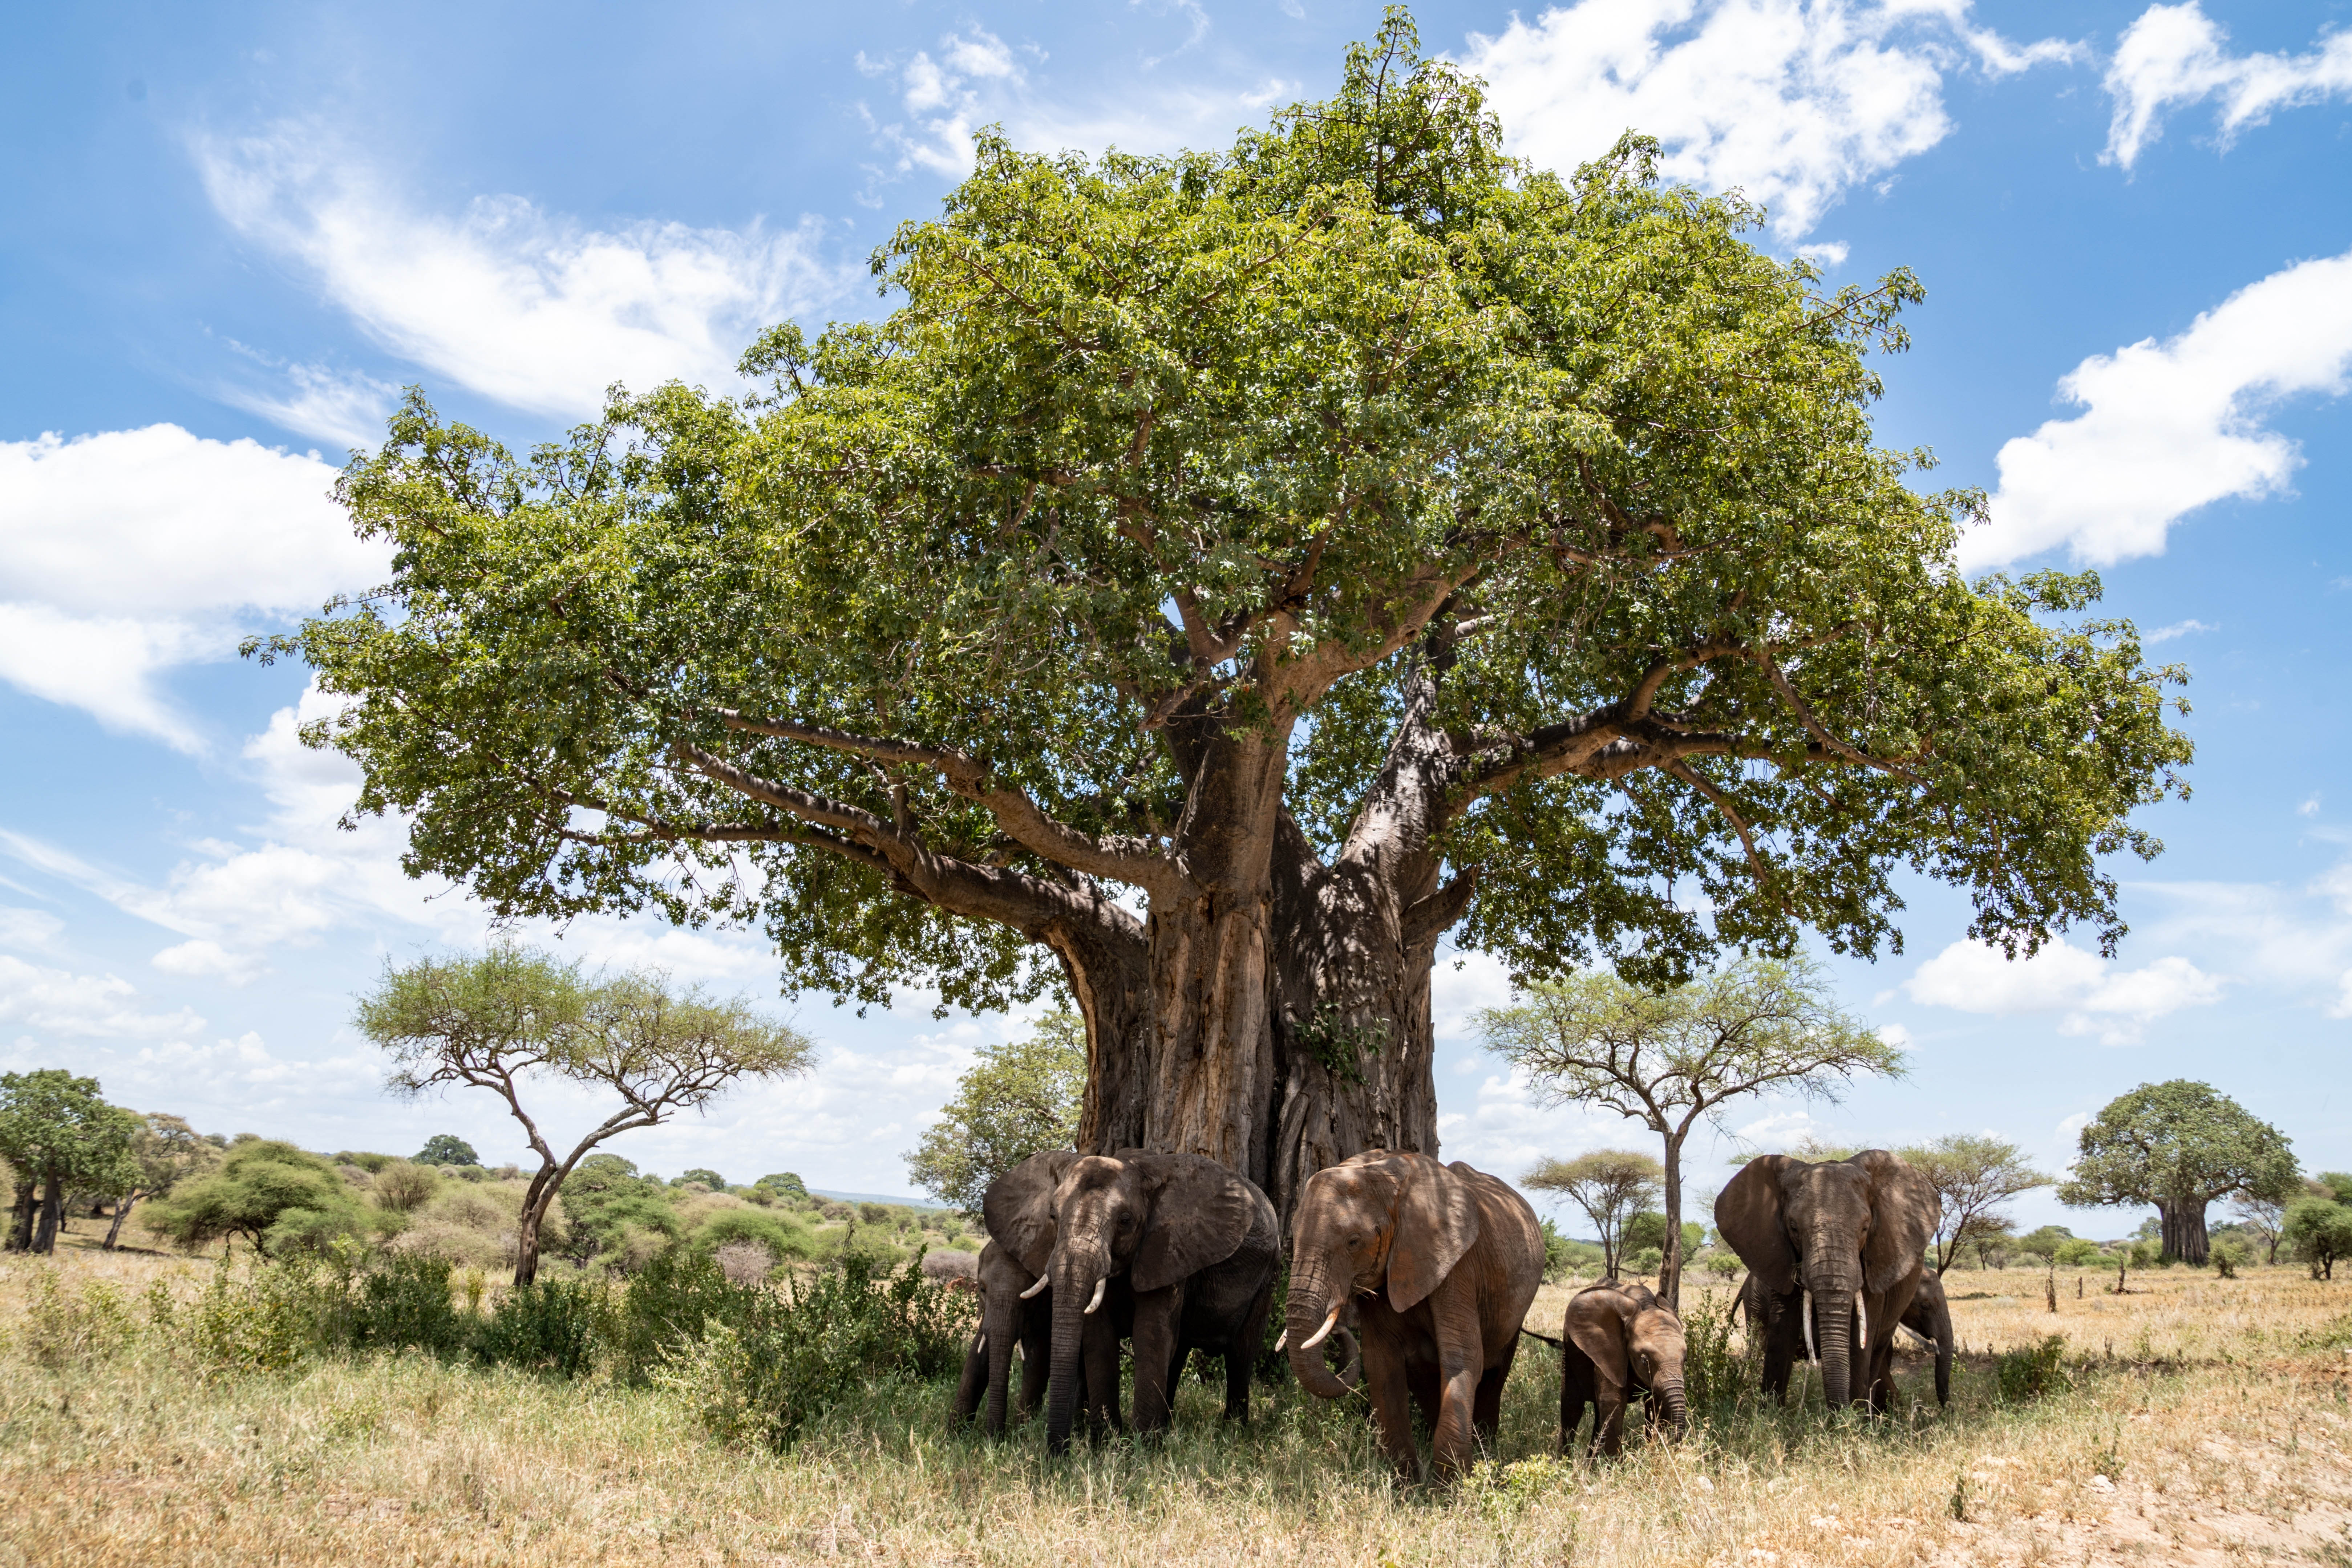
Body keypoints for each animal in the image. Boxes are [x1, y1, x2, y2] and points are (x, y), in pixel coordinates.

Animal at [985, 1147, 1280, 1454]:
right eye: (1053, 1215)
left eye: (1125, 1220)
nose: (1059, 1454)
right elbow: (1100, 1338)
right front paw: (1106, 1446)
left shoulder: (1166, 1249)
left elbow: (1150, 1335)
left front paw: (1142, 1451)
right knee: (1179, 1353)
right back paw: (1169, 1427)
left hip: (1267, 1276)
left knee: (1241, 1354)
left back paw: (1232, 1434)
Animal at [1285, 1150, 1544, 1482]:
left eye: (1353, 1242)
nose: (1339, 1326)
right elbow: (1381, 1364)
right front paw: (1406, 1486)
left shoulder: (1459, 1265)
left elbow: (1463, 1357)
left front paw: (1453, 1487)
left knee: (1495, 1372)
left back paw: (1486, 1449)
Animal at [1559, 1280, 1689, 1456]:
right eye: (1645, 1360)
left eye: (1685, 1359)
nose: (1675, 1443)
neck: (1646, 1305)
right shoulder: (1607, 1349)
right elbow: (1614, 1401)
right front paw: (1611, 1463)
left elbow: (1655, 1403)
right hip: (1569, 1351)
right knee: (1572, 1406)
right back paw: (1563, 1461)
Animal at [1716, 1150, 1940, 1412]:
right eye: (1794, 1228)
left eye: (1865, 1228)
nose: (1838, 1412)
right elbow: (1781, 1332)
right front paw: (1770, 1416)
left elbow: (1859, 1344)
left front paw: (1853, 1420)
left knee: (1877, 1353)